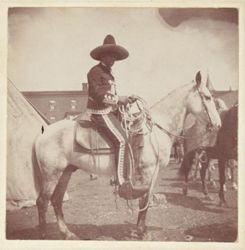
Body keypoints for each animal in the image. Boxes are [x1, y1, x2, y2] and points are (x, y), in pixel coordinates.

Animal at [34, 71, 220, 239]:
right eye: (207, 97)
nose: (218, 124)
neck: (156, 130)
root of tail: (42, 133)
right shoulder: (148, 171)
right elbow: (144, 199)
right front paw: (140, 232)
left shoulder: (152, 173)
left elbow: (146, 199)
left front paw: (141, 230)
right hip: (52, 174)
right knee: (42, 201)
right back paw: (43, 235)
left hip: (65, 172)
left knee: (56, 201)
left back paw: (67, 233)